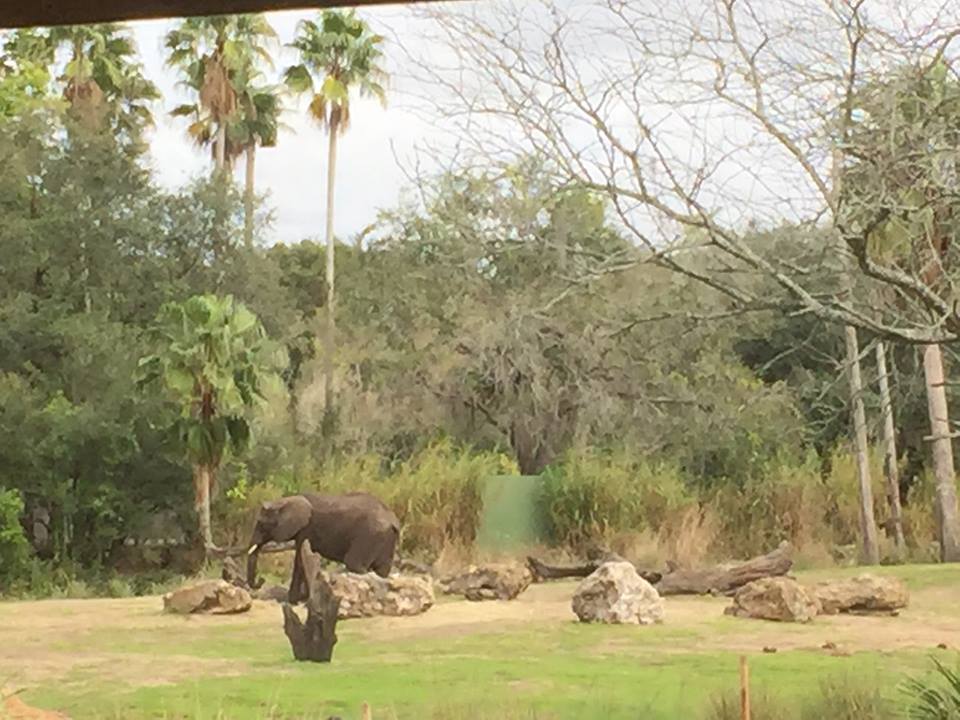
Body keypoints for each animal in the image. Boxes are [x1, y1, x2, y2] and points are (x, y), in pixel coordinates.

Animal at [246, 491, 399, 604]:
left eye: (261, 523)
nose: (261, 580)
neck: (285, 501)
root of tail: (392, 519)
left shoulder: (306, 530)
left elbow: (300, 560)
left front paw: (294, 601)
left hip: (369, 535)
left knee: (354, 564)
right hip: (385, 539)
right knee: (382, 569)